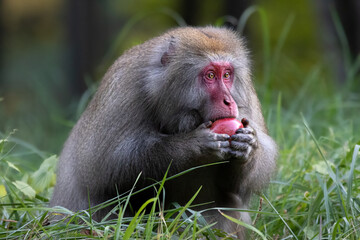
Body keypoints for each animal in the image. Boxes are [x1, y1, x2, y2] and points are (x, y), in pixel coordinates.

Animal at [50, 26, 276, 238]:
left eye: (227, 75)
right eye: (211, 75)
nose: (229, 101)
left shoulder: (246, 97)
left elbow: (239, 186)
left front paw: (247, 148)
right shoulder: (125, 88)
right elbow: (105, 167)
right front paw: (193, 145)